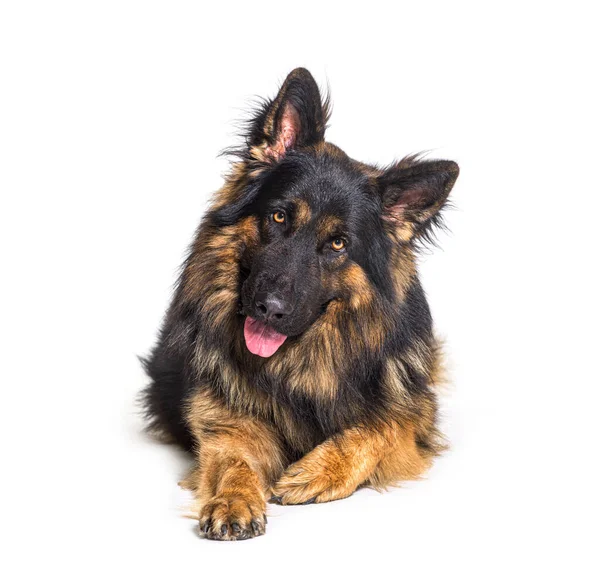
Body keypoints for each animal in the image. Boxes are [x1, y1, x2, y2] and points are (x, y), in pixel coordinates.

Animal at [142, 68, 460, 540]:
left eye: (338, 244)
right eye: (278, 216)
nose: (269, 309)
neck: (297, 363)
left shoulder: (416, 413)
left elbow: (381, 426)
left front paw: (318, 471)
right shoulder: (223, 420)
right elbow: (234, 459)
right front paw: (234, 499)